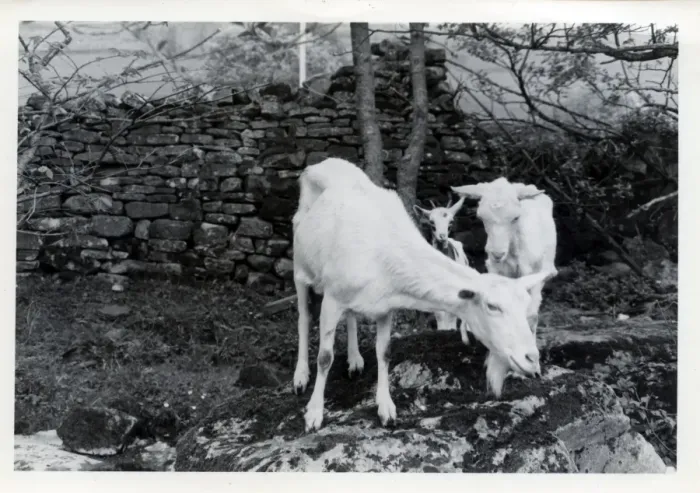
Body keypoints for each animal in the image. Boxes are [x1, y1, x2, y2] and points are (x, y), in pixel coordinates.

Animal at [414, 197, 473, 344]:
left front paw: (450, 330)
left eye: (450, 222)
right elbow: (439, 313)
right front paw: (442, 331)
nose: (442, 236)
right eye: (431, 222)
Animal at [451, 177, 558, 337]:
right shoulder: (496, 270)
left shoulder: (535, 274)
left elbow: (531, 317)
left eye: (516, 217)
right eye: (481, 217)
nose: (497, 253)